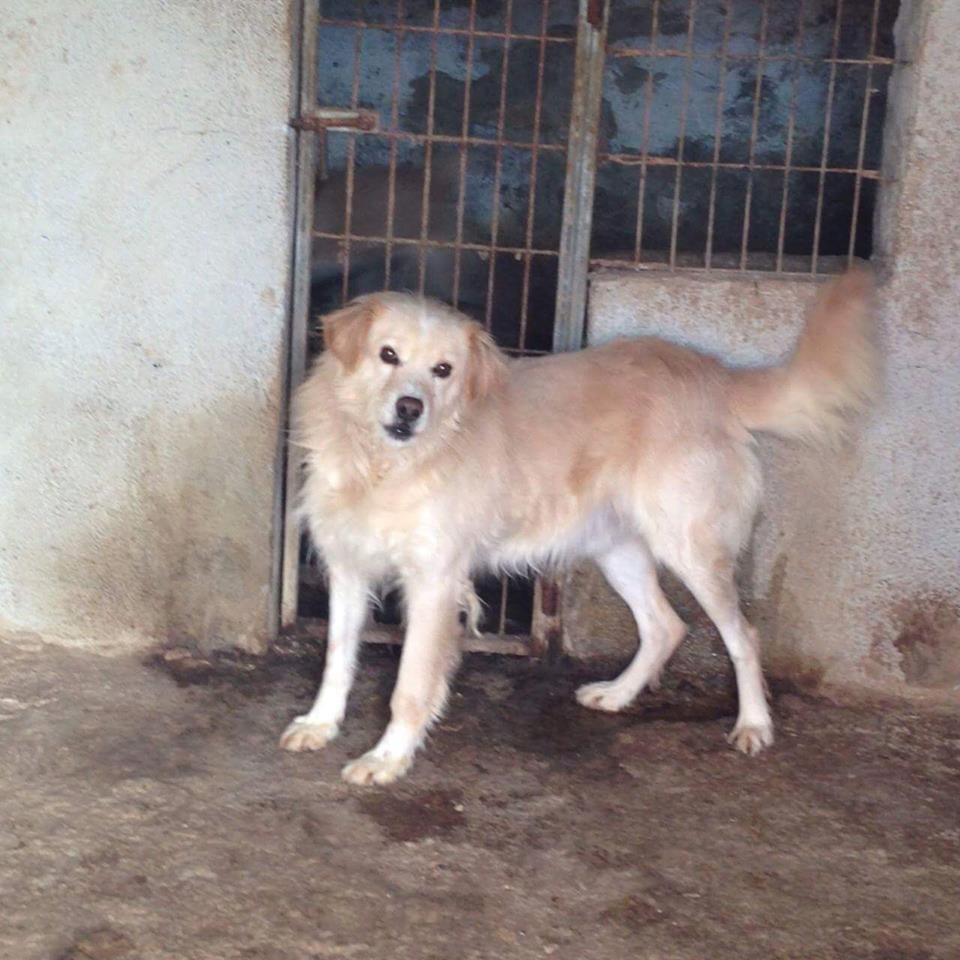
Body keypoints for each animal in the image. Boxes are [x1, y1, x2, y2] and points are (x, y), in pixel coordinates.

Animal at [278, 268, 876, 780]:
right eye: (388, 355)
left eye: (443, 371)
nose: (409, 408)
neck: (382, 464)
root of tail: (713, 376)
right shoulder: (347, 568)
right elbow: (337, 658)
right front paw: (321, 723)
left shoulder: (434, 583)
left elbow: (410, 684)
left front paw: (387, 758)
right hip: (618, 551)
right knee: (666, 625)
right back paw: (618, 695)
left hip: (690, 549)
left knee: (743, 636)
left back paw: (753, 724)